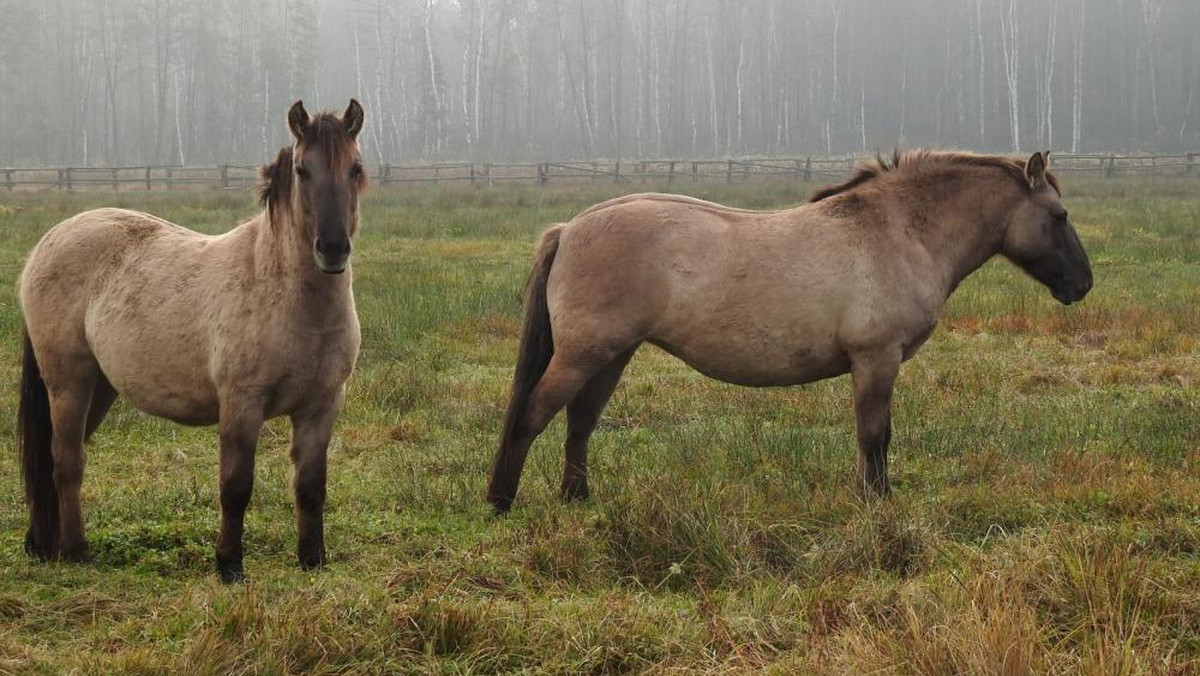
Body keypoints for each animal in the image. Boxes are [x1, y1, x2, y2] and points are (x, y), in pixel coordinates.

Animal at [17, 99, 364, 581]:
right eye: (302, 170)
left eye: (356, 168)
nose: (332, 249)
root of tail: (48, 241)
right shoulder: (241, 404)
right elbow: (236, 486)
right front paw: (229, 565)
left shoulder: (322, 406)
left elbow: (311, 487)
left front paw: (312, 559)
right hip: (68, 382)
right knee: (66, 461)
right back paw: (76, 551)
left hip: (99, 388)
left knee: (57, 460)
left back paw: (42, 543)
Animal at [487, 148, 1099, 511]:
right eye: (1060, 216)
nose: (1083, 284)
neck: (898, 231)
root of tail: (570, 227)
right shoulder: (876, 360)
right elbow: (875, 436)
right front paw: (877, 504)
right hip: (585, 354)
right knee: (533, 416)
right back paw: (501, 500)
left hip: (612, 355)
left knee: (580, 423)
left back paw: (577, 499)